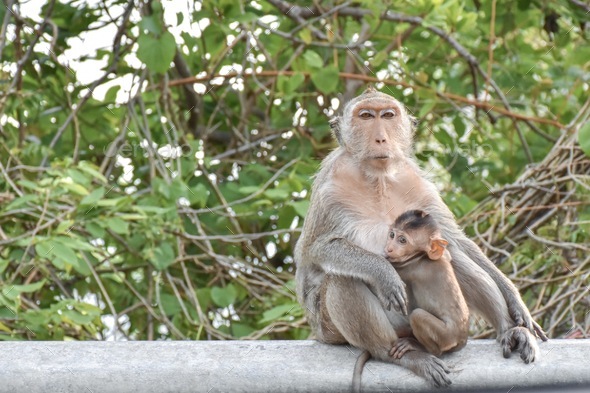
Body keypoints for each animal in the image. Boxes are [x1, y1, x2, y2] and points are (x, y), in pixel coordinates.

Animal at [388, 210, 472, 356]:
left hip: (445, 336)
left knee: (418, 315)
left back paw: (421, 347)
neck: (420, 256)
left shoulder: (408, 268)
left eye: (402, 240)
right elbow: (448, 254)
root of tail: (461, 339)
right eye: (392, 235)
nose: (389, 248)